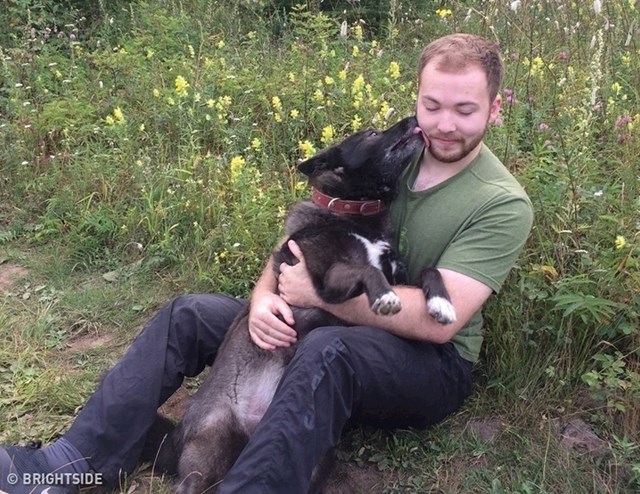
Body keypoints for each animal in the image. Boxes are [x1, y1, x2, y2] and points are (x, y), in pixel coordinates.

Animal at [146, 116, 456, 494]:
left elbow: (429, 270)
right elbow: (367, 269)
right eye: (371, 134)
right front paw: (384, 297)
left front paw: (442, 304)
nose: (414, 119)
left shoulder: (397, 274)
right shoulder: (328, 281)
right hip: (207, 448)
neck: (352, 213)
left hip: (317, 461)